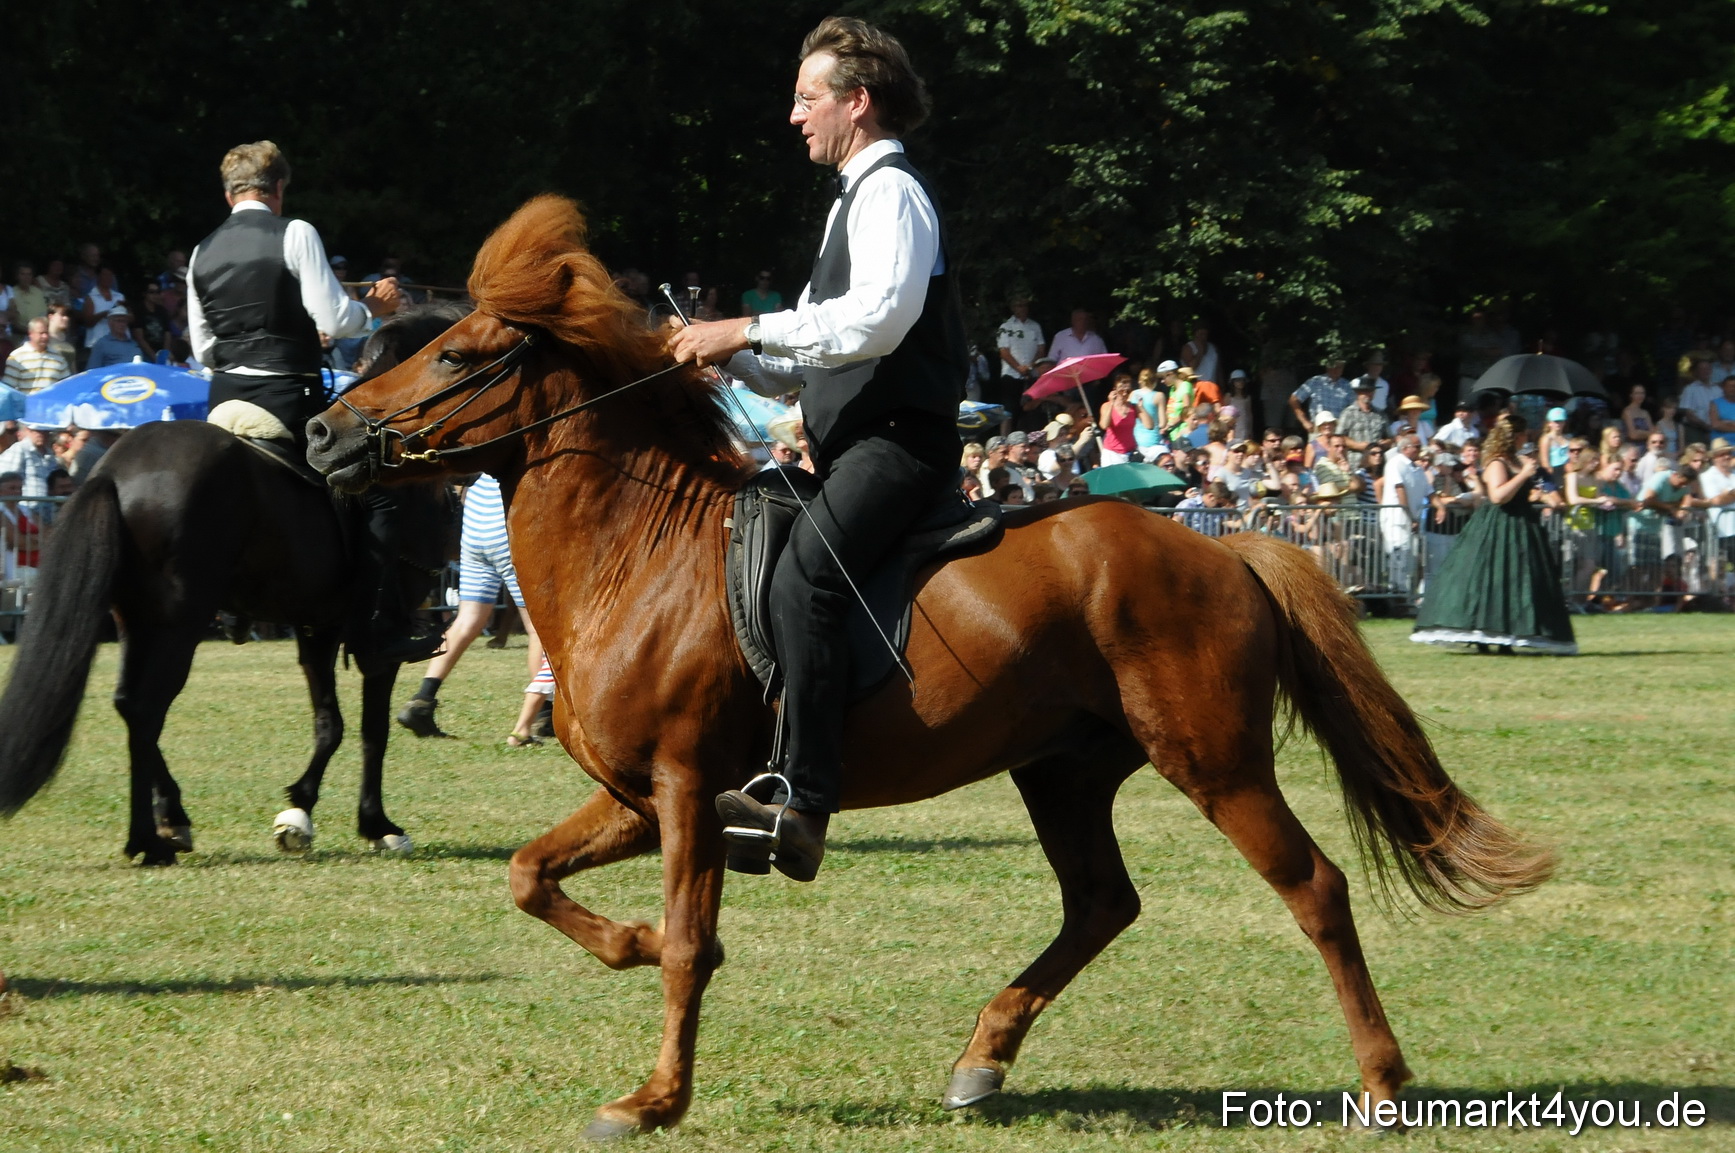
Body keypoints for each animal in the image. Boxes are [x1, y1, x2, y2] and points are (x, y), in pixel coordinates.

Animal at [0, 305, 463, 864]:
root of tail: (113, 470)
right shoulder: (378, 643)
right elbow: (372, 731)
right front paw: (376, 824)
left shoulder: (318, 628)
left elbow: (329, 724)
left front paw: (299, 811)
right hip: (179, 624)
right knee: (145, 708)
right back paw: (149, 838)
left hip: (138, 621)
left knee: (130, 706)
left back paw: (169, 820)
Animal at [306, 196, 1552, 1140]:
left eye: (457, 356)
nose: (324, 435)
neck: (636, 552)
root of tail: (1221, 542)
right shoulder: (644, 795)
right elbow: (534, 877)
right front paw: (632, 943)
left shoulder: (682, 789)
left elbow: (690, 946)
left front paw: (654, 1095)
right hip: (1062, 770)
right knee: (1102, 901)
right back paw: (982, 1056)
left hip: (1211, 760)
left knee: (1313, 888)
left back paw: (1382, 1082)